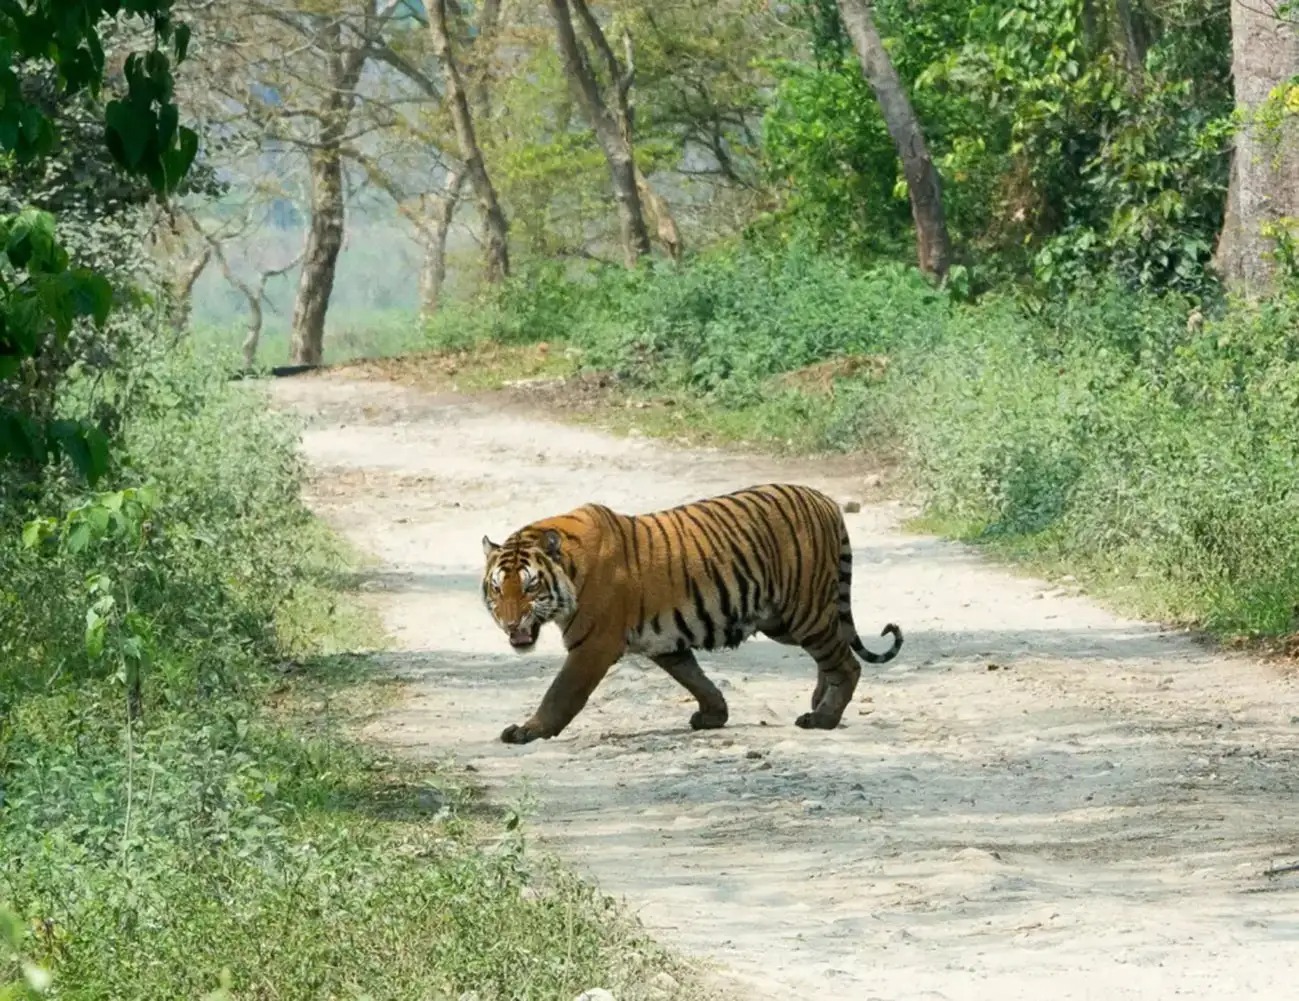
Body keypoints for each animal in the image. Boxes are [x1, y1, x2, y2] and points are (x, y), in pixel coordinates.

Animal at [480, 480, 904, 747]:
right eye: (498, 588)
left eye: (530, 587)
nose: (511, 623)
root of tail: (826, 501)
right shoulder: (665, 642)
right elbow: (695, 678)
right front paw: (714, 715)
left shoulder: (592, 646)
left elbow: (560, 694)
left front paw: (527, 731)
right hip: (784, 620)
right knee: (832, 653)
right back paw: (818, 701)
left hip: (804, 611)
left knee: (847, 662)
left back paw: (823, 718)